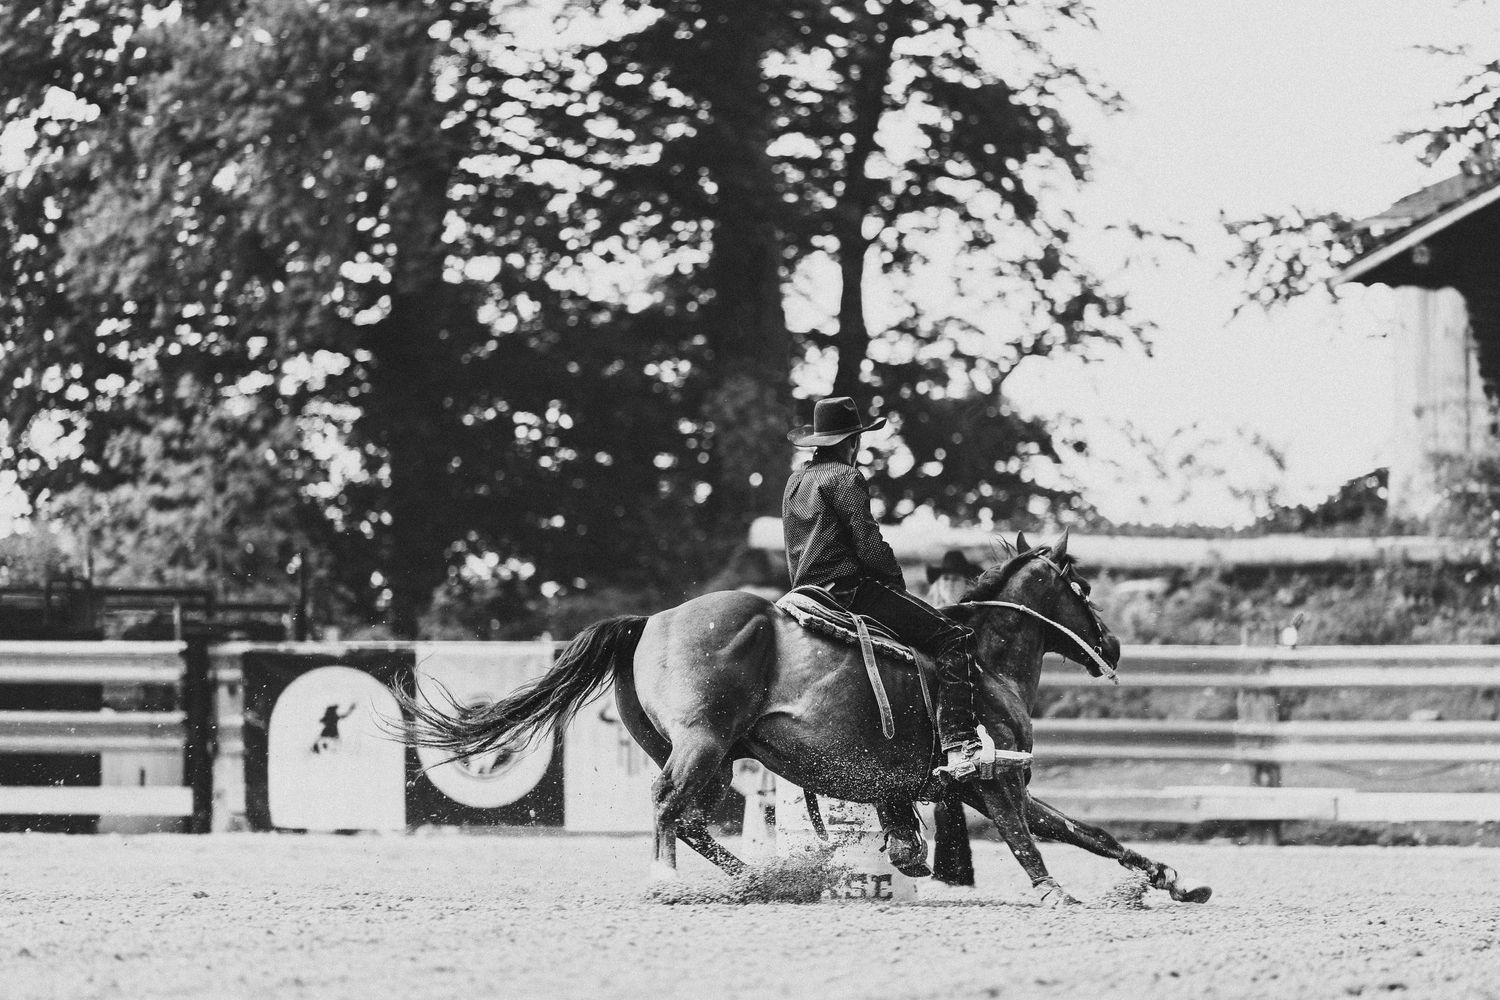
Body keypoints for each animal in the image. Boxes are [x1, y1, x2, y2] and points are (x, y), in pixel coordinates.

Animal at [400, 530, 1211, 906]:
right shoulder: (993, 783)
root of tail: (651, 619)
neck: (985, 659)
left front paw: (1172, 880)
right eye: (1082, 587)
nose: (1113, 644)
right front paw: (1054, 893)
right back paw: (674, 882)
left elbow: (1091, 832)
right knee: (667, 808)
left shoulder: (983, 786)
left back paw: (760, 879)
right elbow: (1027, 838)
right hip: (702, 746)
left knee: (692, 820)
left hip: (710, 753)